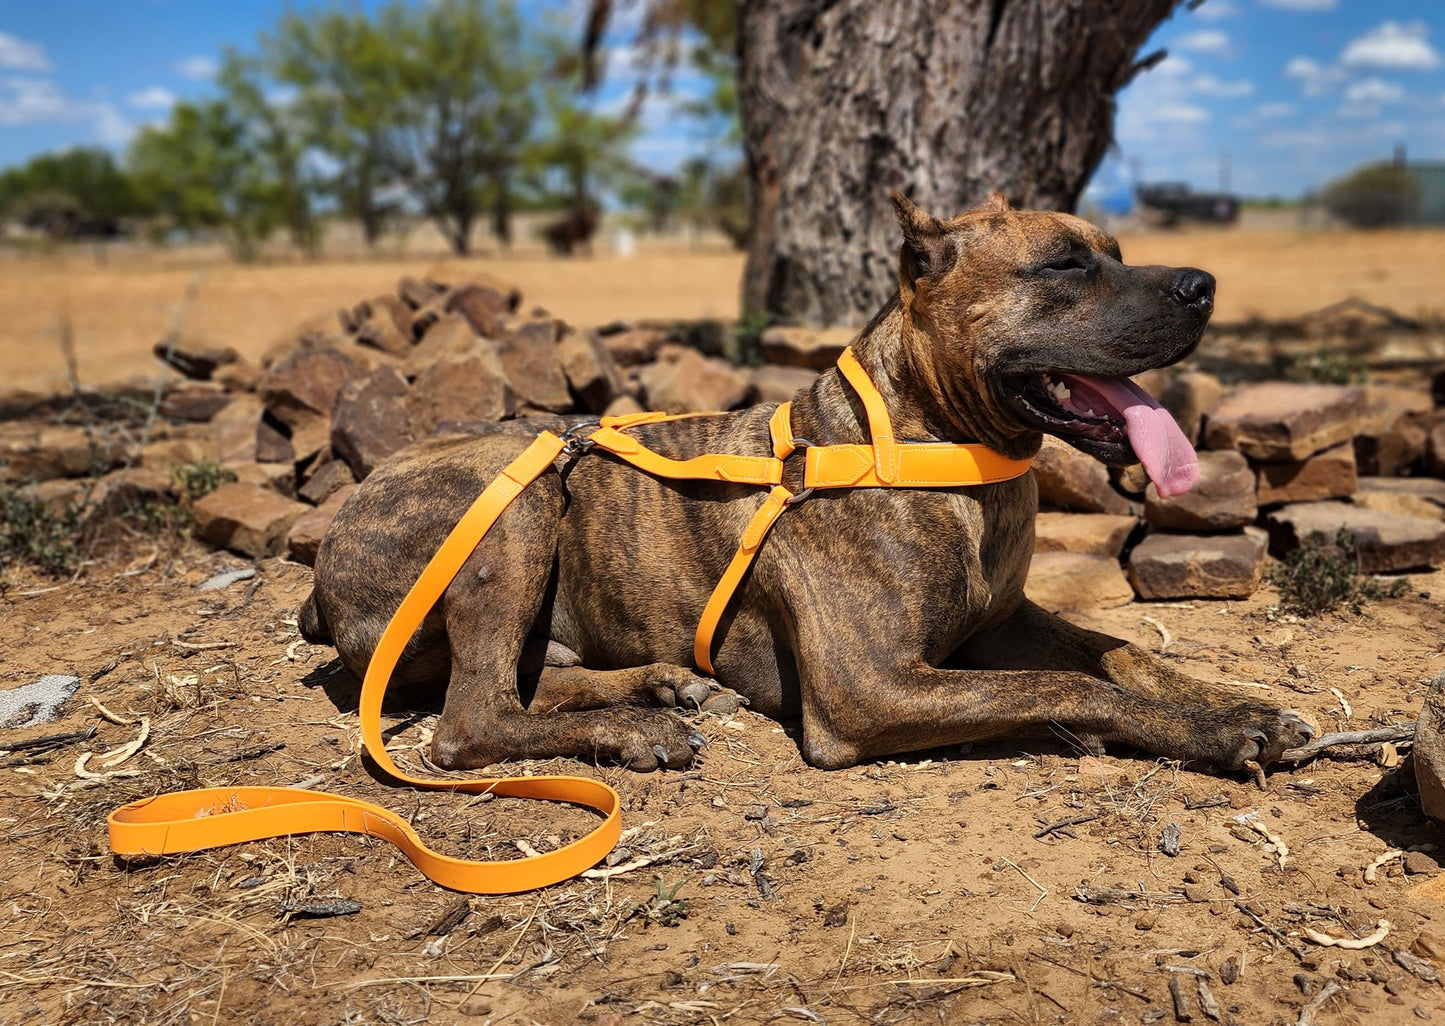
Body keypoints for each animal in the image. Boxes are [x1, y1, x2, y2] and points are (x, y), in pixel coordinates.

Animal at [304, 190, 1323, 774]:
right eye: (1066, 264)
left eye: (1111, 249)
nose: (1201, 284)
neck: (936, 447)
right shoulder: (871, 688)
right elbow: (1072, 689)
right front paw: (1214, 736)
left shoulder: (1003, 622)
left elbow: (1120, 654)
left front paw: (1234, 706)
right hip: (513, 504)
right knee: (469, 719)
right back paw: (637, 732)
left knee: (524, 682)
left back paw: (661, 688)